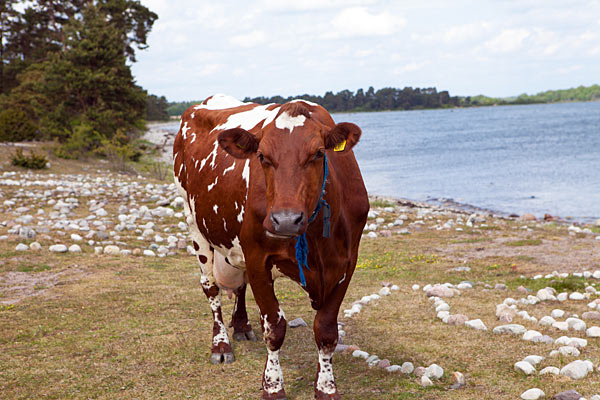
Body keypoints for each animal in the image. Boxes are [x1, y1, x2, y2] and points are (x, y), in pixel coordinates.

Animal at [172, 94, 370, 400]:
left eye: (318, 154)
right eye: (262, 157)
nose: (286, 219)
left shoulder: (346, 263)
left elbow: (326, 330)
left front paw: (326, 386)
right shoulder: (258, 258)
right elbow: (274, 328)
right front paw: (273, 385)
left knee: (239, 286)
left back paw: (241, 325)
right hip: (194, 223)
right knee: (211, 289)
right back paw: (221, 345)